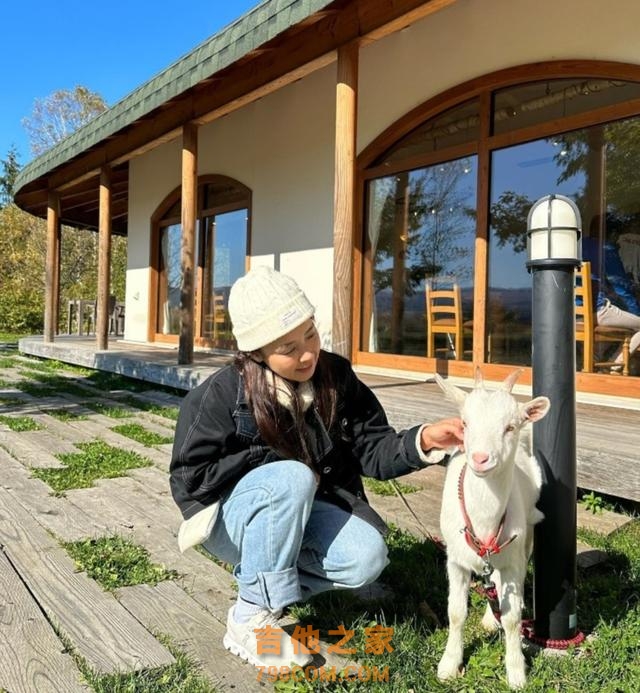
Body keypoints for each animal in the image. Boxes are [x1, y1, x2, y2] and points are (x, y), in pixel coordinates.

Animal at [436, 368, 552, 688]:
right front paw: (449, 664)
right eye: (465, 423)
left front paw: (516, 671)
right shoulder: (456, 561)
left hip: (525, 537)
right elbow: (455, 612)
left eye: (510, 427)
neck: (485, 521)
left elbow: (511, 619)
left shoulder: (512, 559)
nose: (480, 459)